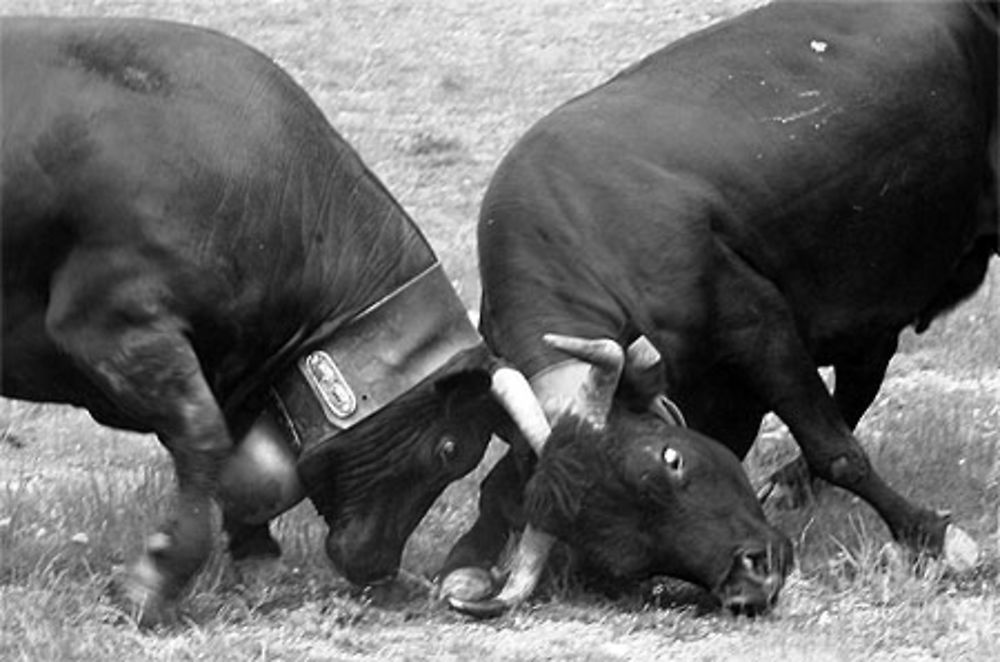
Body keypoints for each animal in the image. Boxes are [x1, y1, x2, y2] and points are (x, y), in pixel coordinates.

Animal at [0, 16, 556, 628]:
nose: (381, 564)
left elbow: (247, 476)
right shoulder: (113, 326)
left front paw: (257, 557)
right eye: (451, 449)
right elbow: (206, 438)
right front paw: (155, 577)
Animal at [442, 1, 996, 624]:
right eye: (628, 560)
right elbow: (498, 489)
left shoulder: (758, 327)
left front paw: (935, 537)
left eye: (672, 459)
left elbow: (836, 451)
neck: (591, 232)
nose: (750, 580)